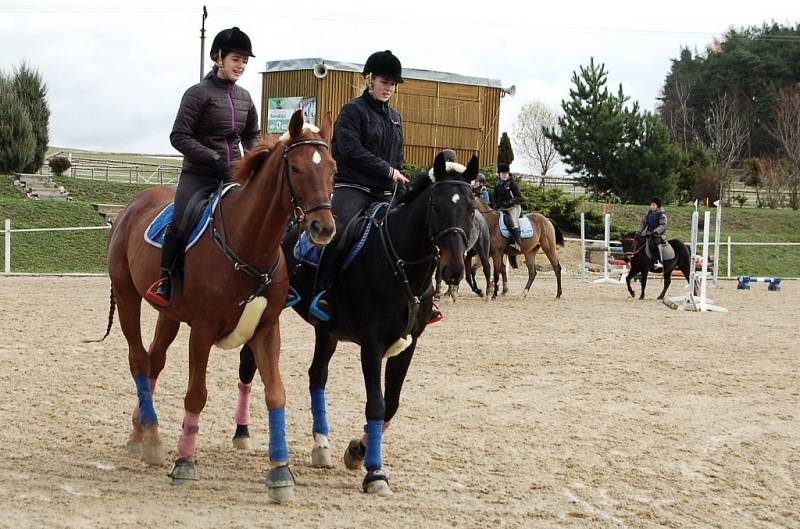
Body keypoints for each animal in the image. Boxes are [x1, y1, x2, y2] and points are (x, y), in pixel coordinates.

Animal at [101, 110, 338, 500]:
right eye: (297, 168)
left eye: (332, 168)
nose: (323, 227)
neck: (249, 244)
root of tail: (131, 206)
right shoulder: (202, 331)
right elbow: (196, 395)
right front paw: (185, 462)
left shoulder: (266, 330)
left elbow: (276, 394)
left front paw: (280, 471)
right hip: (126, 297)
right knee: (138, 359)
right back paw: (151, 434)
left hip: (169, 315)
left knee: (154, 361)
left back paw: (143, 433)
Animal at [234, 152, 478, 496]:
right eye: (437, 206)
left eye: (470, 207)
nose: (454, 269)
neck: (400, 265)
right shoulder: (372, 346)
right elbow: (376, 405)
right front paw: (375, 473)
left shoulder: (409, 345)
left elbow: (391, 404)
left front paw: (356, 452)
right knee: (248, 363)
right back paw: (242, 433)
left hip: (327, 331)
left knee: (317, 375)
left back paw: (321, 446)